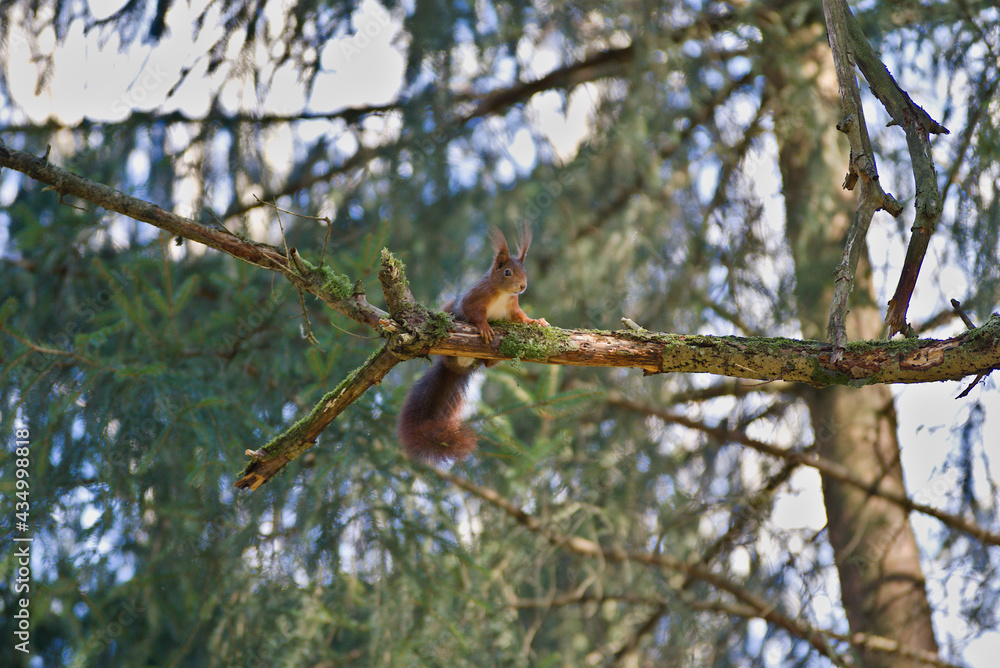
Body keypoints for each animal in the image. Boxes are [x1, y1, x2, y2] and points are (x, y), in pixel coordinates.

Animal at [397, 226, 550, 462]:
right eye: (507, 272)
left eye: (525, 271)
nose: (522, 287)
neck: (502, 293)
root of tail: (457, 367)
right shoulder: (475, 298)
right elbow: (473, 313)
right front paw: (484, 327)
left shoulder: (513, 308)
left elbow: (521, 318)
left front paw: (537, 321)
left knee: (487, 364)